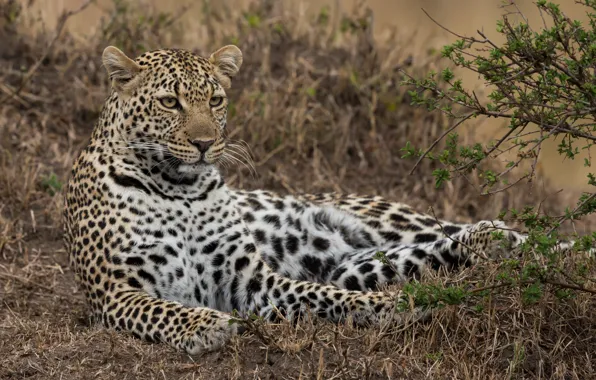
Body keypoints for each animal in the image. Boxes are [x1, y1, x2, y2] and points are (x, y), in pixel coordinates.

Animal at [59, 46, 564, 354]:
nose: (205, 144)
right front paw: (205, 325)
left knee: (501, 239)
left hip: (392, 221)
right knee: (427, 254)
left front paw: (390, 308)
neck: (178, 188)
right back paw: (492, 244)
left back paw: (519, 245)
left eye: (216, 100)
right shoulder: (116, 292)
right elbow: (164, 308)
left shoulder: (251, 280)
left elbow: (321, 295)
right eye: (170, 103)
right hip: (358, 261)